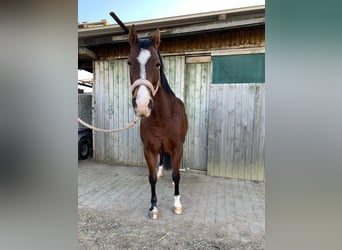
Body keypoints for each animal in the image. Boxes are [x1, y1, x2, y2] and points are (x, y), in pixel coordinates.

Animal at [127, 25, 188, 219]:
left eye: (157, 64)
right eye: (129, 62)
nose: (142, 105)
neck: (162, 118)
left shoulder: (177, 147)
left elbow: (176, 175)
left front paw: (177, 204)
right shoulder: (149, 149)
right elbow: (151, 178)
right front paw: (153, 207)